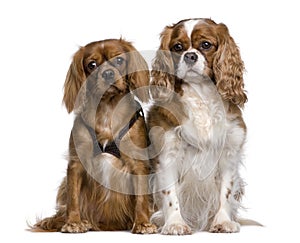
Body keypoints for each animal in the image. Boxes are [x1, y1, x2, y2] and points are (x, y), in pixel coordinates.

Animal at [32, 38, 158, 234]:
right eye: (92, 65)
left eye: (119, 60)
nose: (107, 73)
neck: (107, 110)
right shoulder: (76, 163)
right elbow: (73, 198)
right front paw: (74, 222)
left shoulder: (138, 164)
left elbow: (141, 198)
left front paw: (143, 223)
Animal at [147, 18, 248, 234]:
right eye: (177, 47)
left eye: (206, 45)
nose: (190, 56)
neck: (201, 95)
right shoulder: (167, 154)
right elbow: (171, 195)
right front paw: (175, 223)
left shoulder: (228, 153)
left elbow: (226, 192)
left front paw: (223, 222)